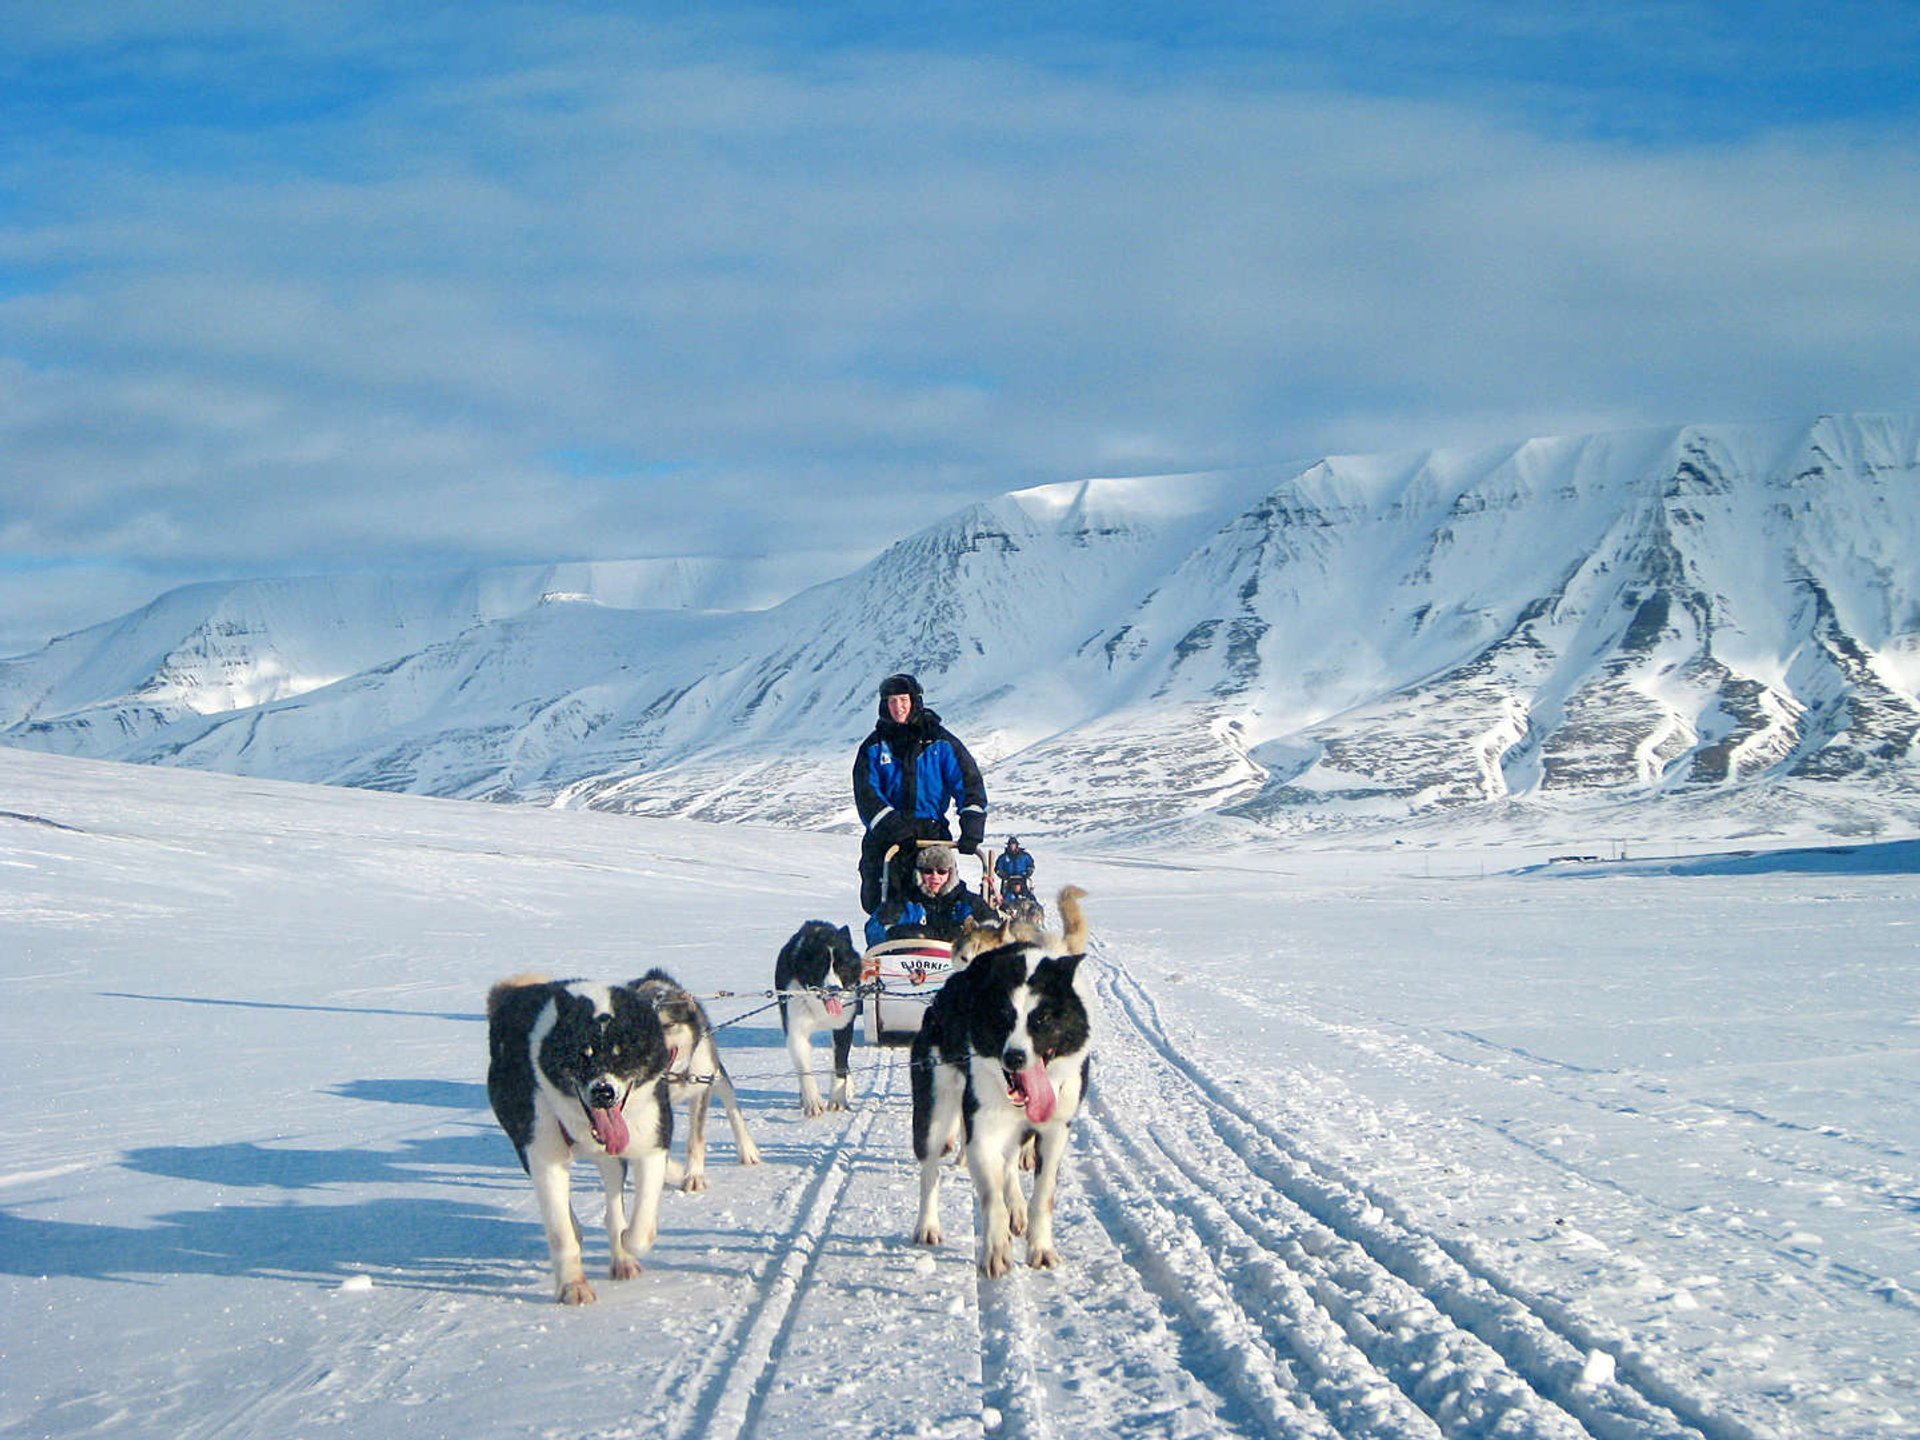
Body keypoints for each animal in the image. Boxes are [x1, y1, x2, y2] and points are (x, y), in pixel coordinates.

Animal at [487, 975, 675, 1305]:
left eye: (621, 1052)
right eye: (581, 1054)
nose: (603, 1092)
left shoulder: (651, 1145)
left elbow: (639, 1228)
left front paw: (631, 1241)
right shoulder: (543, 1158)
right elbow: (561, 1232)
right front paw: (572, 1285)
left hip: (611, 1160)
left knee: (613, 1206)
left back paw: (622, 1258)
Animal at [622, 971, 756, 1198]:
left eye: (667, 1025)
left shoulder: (701, 1088)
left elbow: (696, 1139)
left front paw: (693, 1176)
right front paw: (675, 1173)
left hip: (715, 1074)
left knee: (731, 1103)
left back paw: (747, 1148)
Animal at [771, 925, 864, 1113]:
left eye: (842, 969)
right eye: (819, 968)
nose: (833, 989)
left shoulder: (843, 1027)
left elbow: (840, 1063)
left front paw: (837, 1099)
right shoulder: (796, 1031)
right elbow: (804, 1067)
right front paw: (812, 1101)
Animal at [906, 890, 1090, 1282]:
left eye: (1043, 1018)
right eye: (1002, 1017)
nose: (1015, 1058)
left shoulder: (1054, 1131)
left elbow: (1042, 1196)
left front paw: (1041, 1247)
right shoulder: (983, 1132)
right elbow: (991, 1197)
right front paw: (996, 1250)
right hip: (933, 1112)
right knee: (930, 1171)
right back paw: (928, 1225)